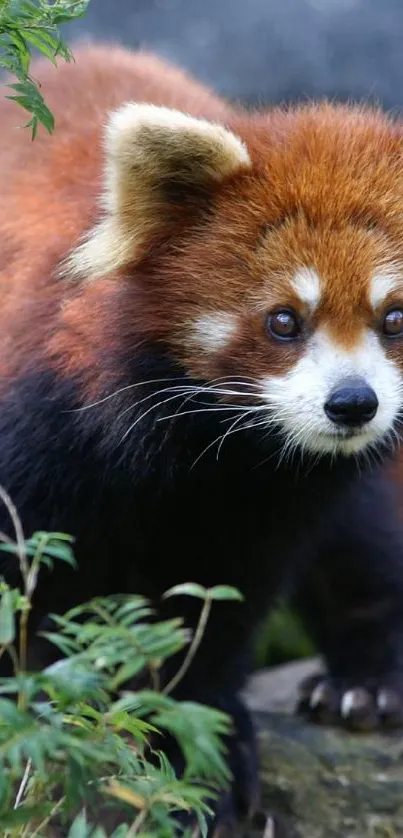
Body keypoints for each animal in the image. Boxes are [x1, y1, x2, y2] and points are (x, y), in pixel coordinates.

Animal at [1, 47, 403, 838]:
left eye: (395, 318)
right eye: (284, 321)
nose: (353, 404)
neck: (206, 451)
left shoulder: (272, 501)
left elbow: (219, 613)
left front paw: (196, 739)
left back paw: (366, 684)